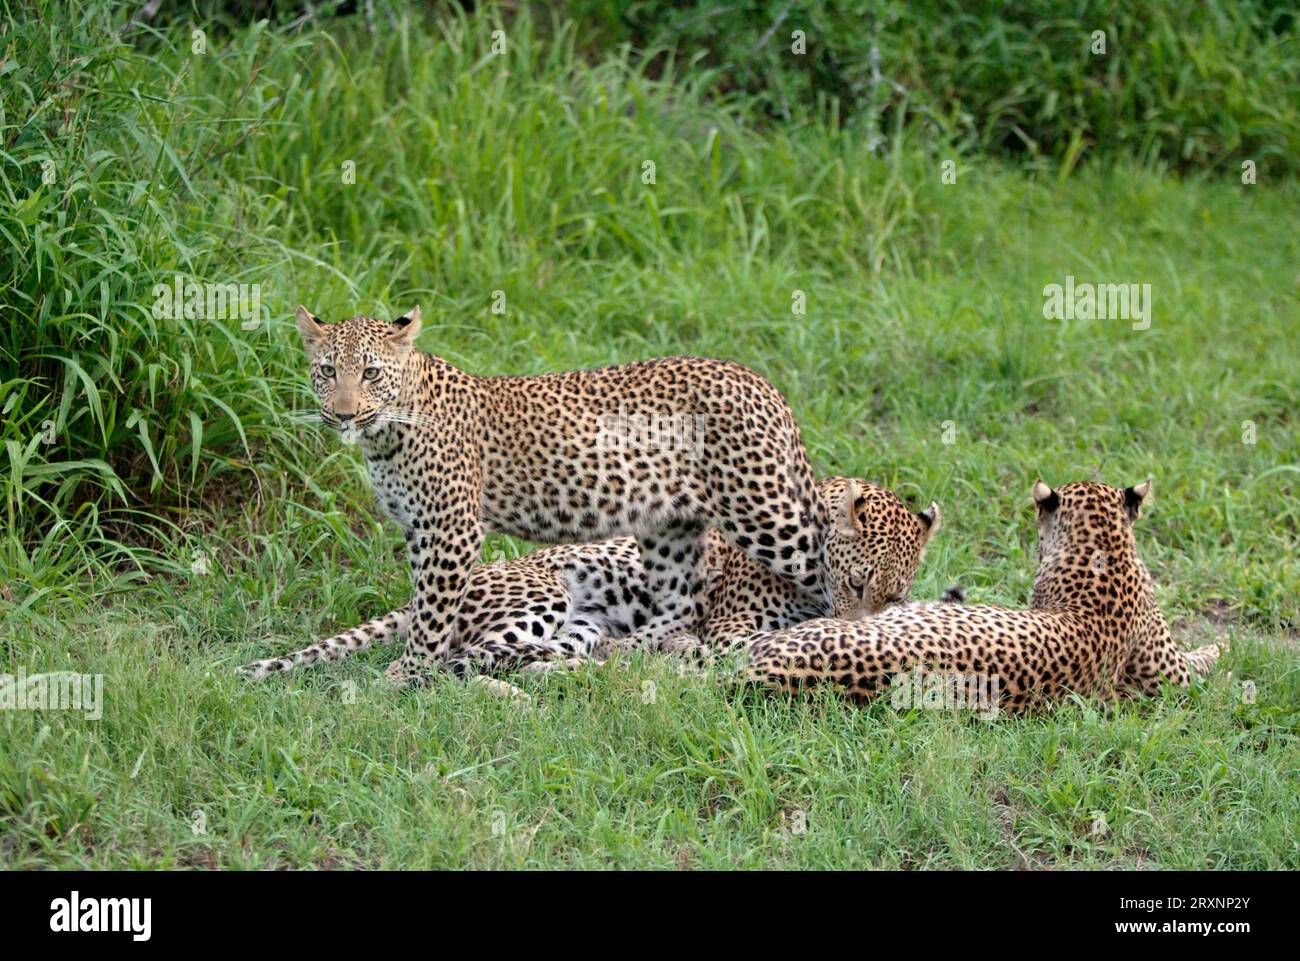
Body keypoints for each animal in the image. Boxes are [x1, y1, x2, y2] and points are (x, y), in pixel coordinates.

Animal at [239, 478, 941, 681]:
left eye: (896, 597)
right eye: (859, 585)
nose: (861, 625)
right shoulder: (732, 628)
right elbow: (748, 639)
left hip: (573, 626)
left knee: (528, 658)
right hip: (546, 597)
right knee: (458, 661)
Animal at [262, 304, 832, 686]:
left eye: (371, 373)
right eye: (327, 371)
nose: (342, 413)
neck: (386, 435)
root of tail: (760, 381)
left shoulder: (451, 529)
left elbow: (431, 611)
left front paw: (407, 672)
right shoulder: (419, 529)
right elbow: (427, 603)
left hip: (764, 511)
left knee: (825, 566)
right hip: (668, 526)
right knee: (682, 604)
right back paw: (623, 652)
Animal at [748, 481, 1222, 712]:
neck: (1104, 545)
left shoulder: (1169, 674)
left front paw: (1222, 646)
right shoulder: (1169, 673)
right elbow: (1201, 662)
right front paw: (1223, 647)